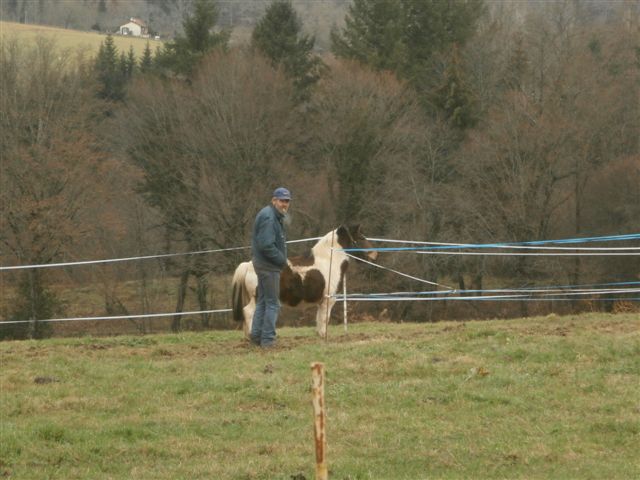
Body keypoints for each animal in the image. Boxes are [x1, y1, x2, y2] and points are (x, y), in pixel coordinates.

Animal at [232, 225, 378, 338]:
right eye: (361, 238)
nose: (375, 254)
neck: (329, 261)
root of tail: (249, 265)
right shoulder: (329, 299)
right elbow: (325, 318)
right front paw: (324, 336)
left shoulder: (321, 301)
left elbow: (319, 318)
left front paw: (319, 335)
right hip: (258, 298)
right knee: (248, 312)